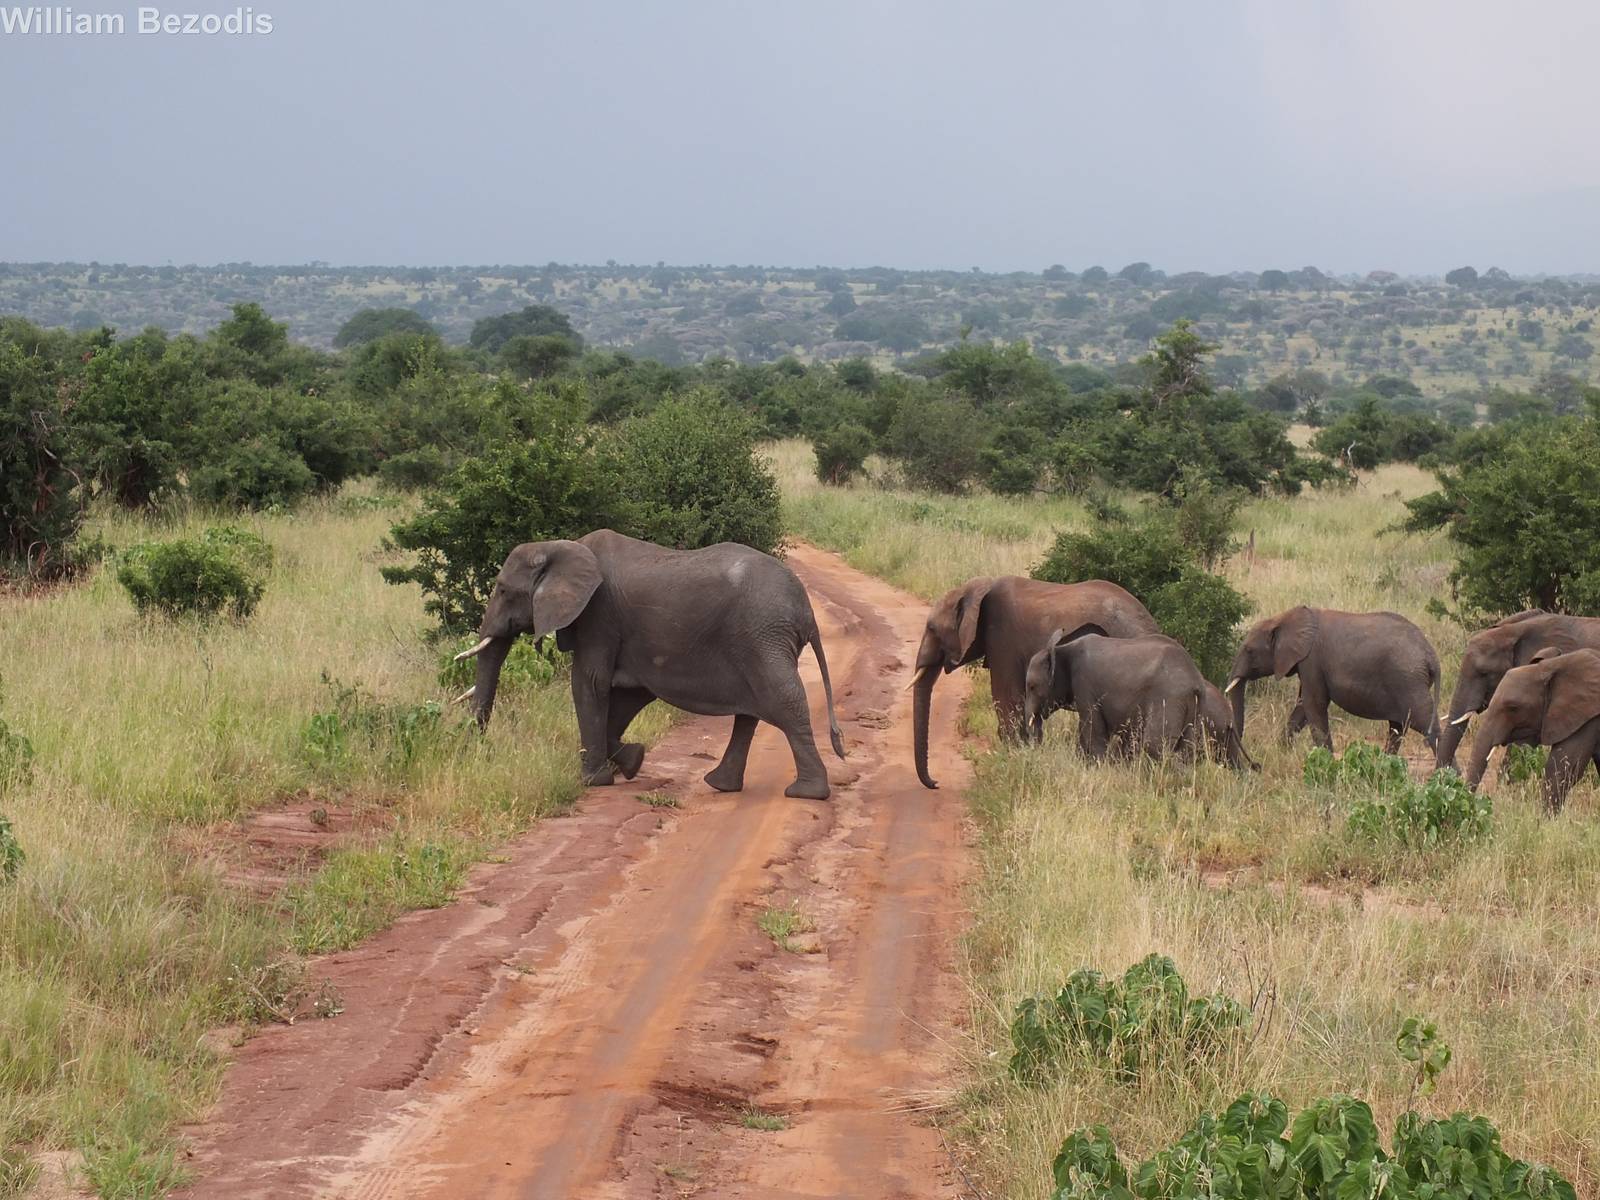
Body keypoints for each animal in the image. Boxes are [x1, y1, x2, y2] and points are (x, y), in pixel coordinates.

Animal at [453, 530, 846, 800]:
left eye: (503, 591)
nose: (479, 750)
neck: (562, 547)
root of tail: (807, 610)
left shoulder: (598, 615)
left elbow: (589, 683)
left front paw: (593, 781)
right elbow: (627, 693)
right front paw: (633, 761)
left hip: (763, 635)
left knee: (784, 700)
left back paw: (806, 793)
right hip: (759, 640)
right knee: (751, 711)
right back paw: (721, 784)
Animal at [911, 576, 1158, 788]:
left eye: (932, 628)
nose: (935, 783)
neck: (973, 589)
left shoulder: (1002, 639)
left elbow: (1008, 701)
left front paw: (1014, 757)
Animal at [1022, 627, 1248, 767]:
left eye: (1032, 687)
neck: (1061, 648)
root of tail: (1196, 679)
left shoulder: (1085, 686)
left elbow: (1094, 731)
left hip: (1169, 698)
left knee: (1156, 746)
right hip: (1193, 709)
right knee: (1186, 750)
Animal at [1225, 607, 1440, 754]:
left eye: (1249, 651)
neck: (1284, 618)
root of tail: (1431, 655)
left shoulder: (1312, 660)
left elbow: (1314, 705)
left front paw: (1325, 760)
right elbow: (1302, 708)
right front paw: (1282, 751)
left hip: (1409, 681)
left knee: (1425, 724)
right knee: (1397, 727)